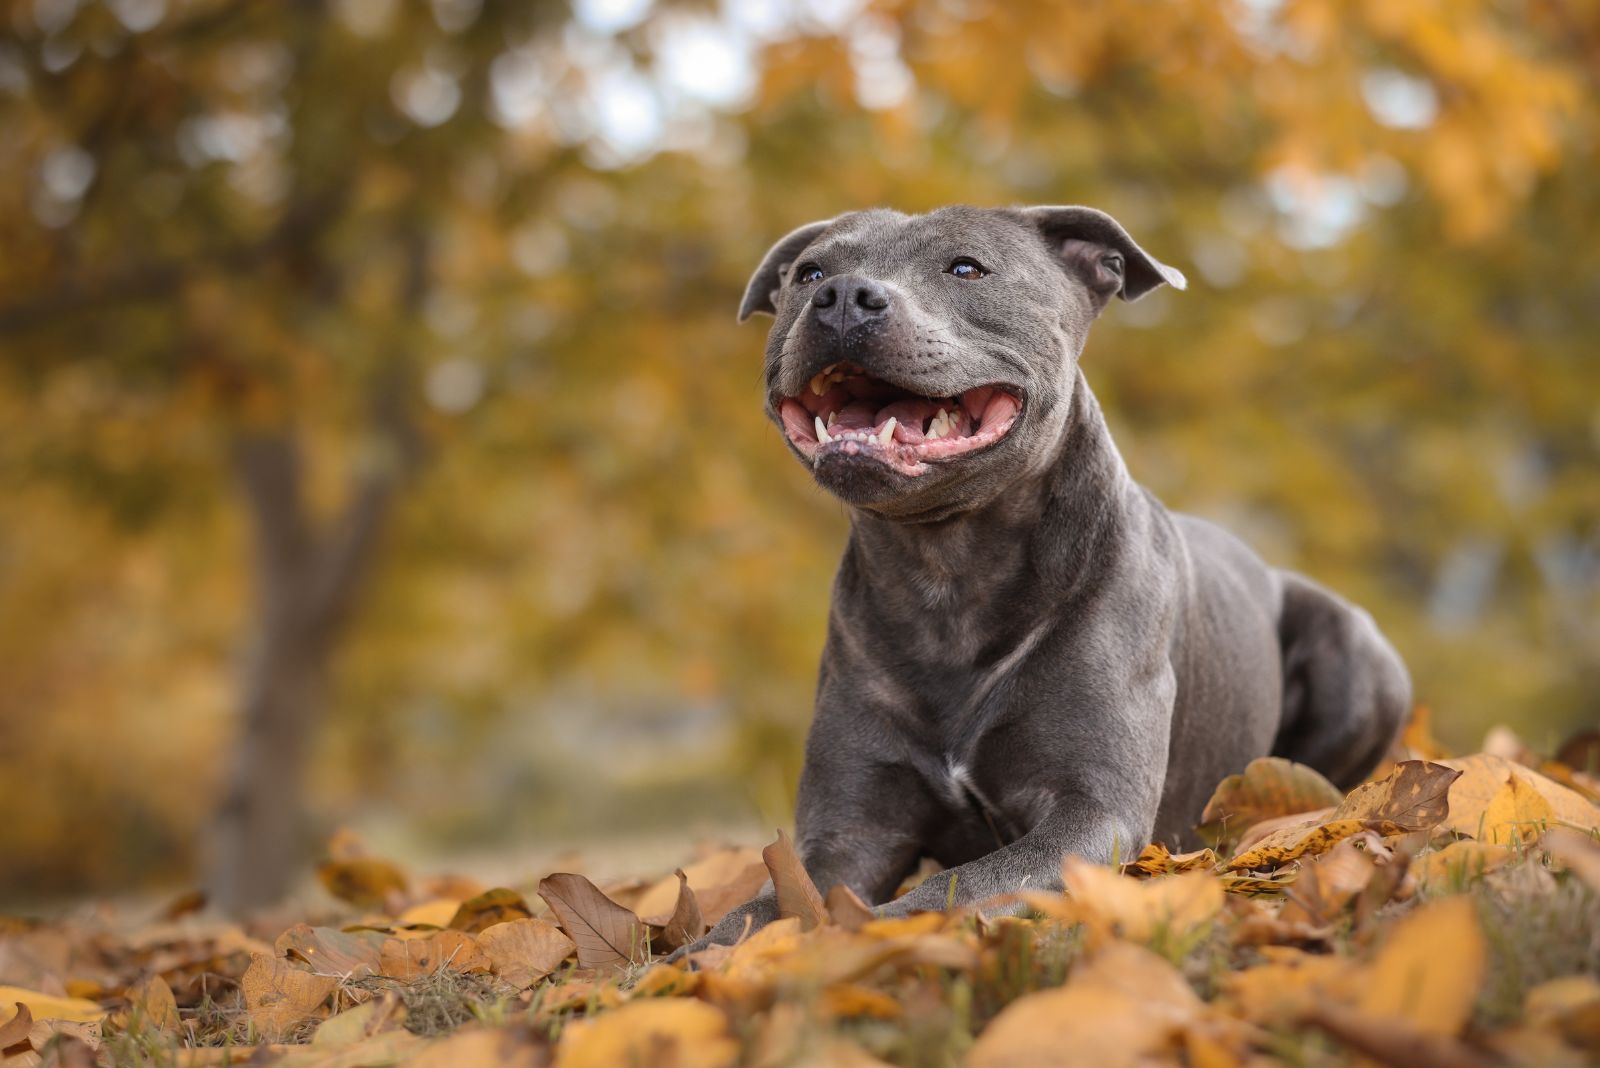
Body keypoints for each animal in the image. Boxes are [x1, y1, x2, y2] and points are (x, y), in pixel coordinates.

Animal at [681, 202, 1408, 952]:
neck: (946, 572)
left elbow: (946, 890)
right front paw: (690, 960)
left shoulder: (1089, 815)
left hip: (1356, 655)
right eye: (808, 273)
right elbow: (749, 915)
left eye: (966, 268)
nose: (843, 295)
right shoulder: (843, 835)